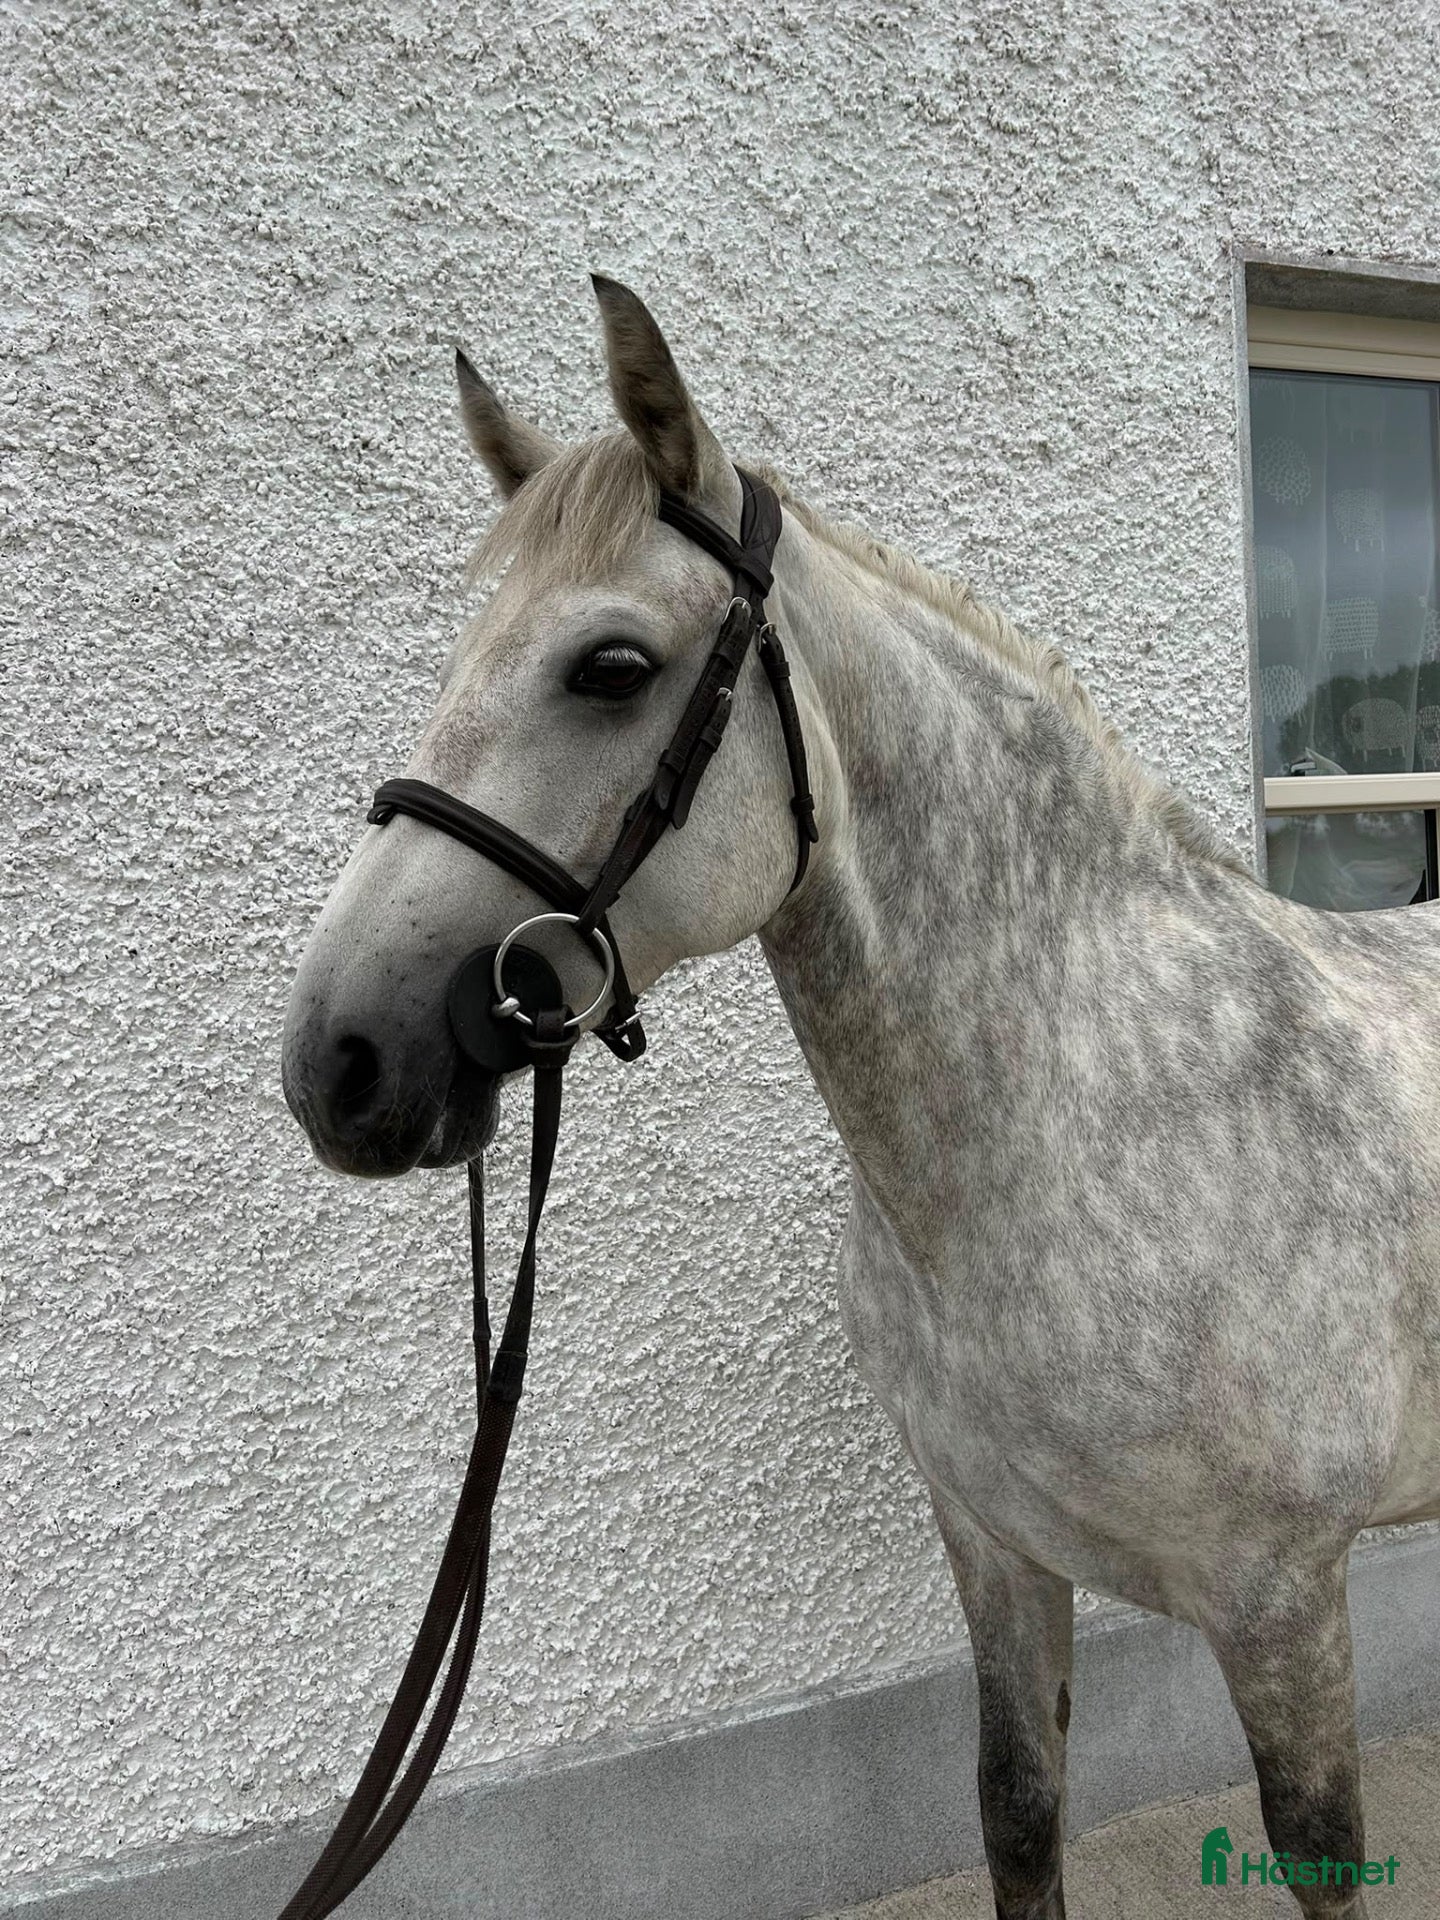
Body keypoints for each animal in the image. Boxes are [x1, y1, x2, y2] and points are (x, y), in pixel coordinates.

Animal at [281, 277, 1440, 1919]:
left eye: (611, 667)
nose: (341, 1060)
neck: (1100, 1112)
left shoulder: (1283, 1597)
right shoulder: (995, 1547)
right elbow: (1017, 1808)